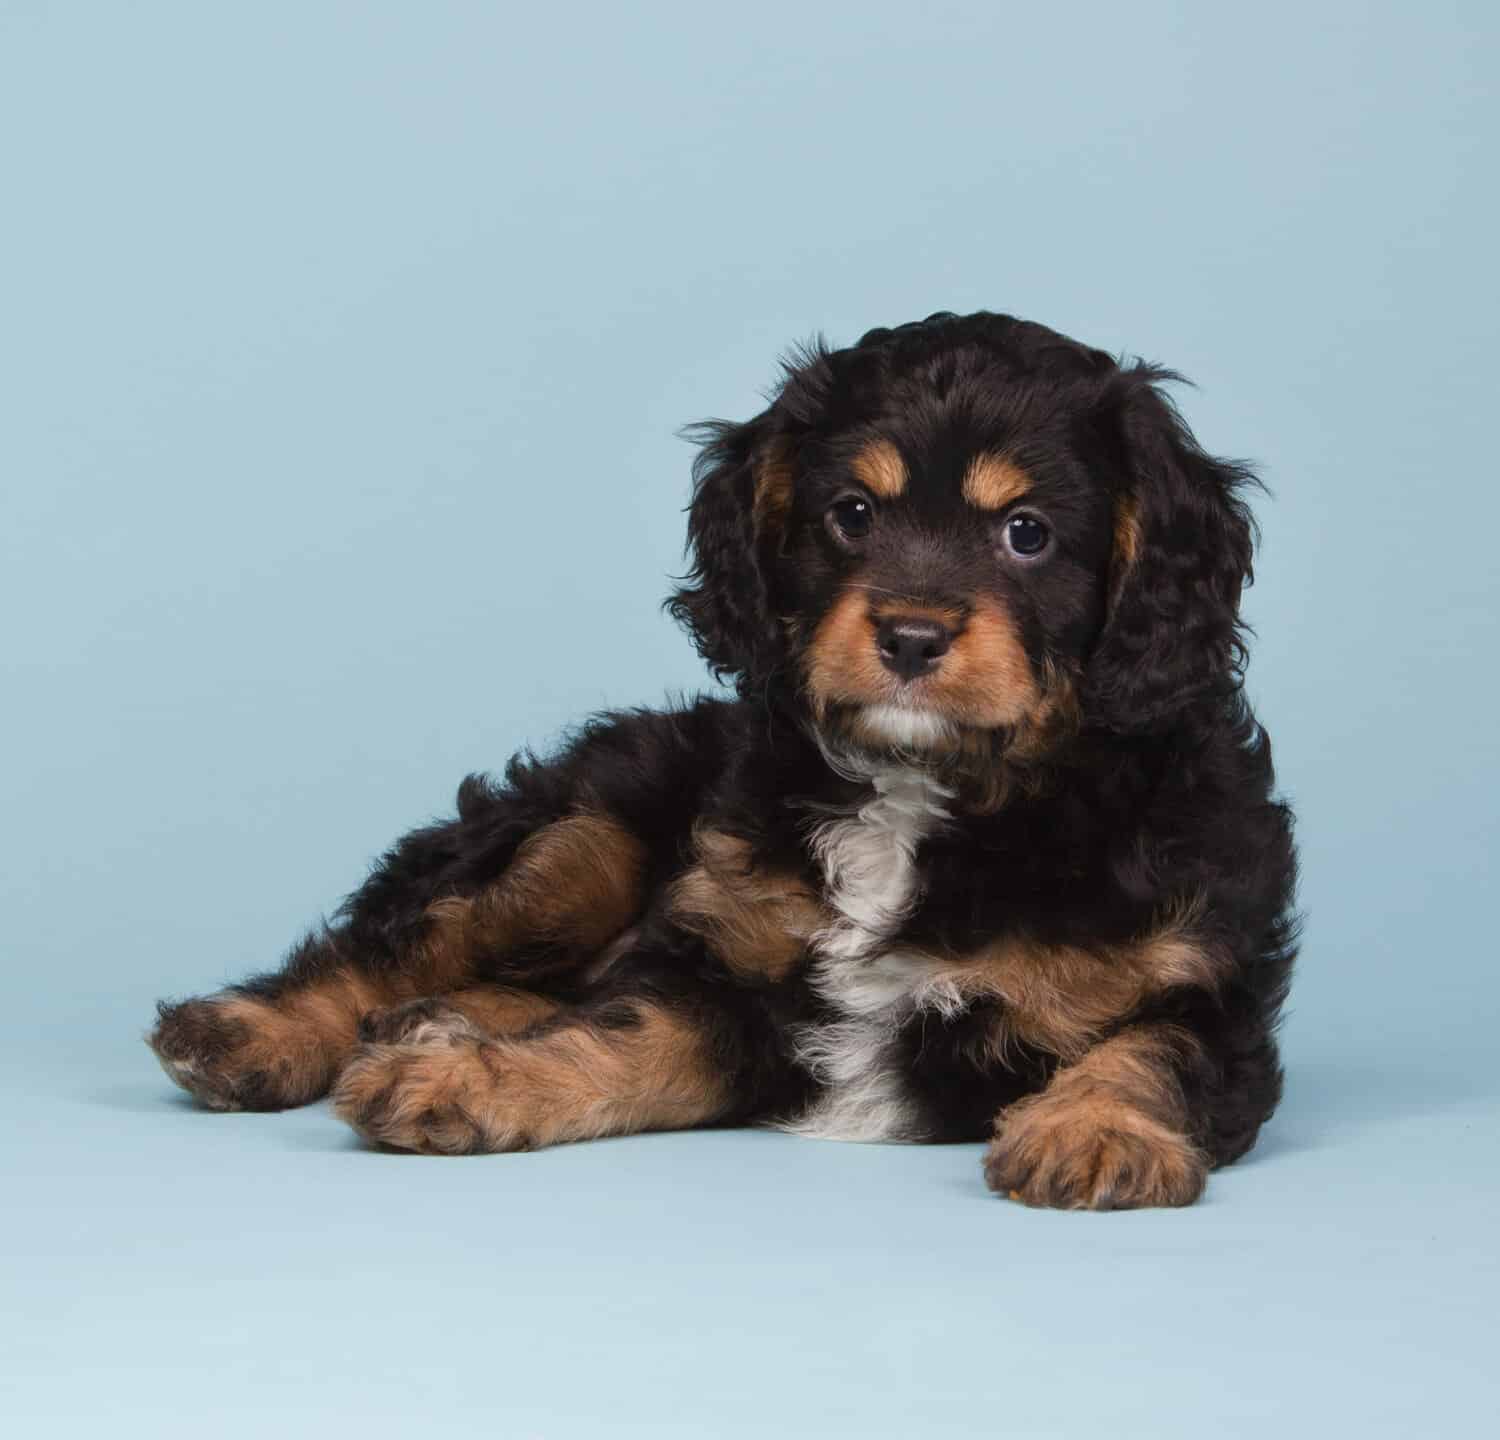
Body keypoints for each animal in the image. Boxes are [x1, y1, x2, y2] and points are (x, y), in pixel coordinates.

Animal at [155, 312, 1302, 1206]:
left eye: (1028, 533)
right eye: (851, 515)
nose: (911, 638)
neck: (925, 790)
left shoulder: (1202, 979)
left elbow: (1157, 1048)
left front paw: (1095, 1131)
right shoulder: (720, 969)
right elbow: (620, 1030)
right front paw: (468, 1084)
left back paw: (428, 1026)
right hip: (583, 832)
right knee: (399, 943)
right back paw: (257, 1033)